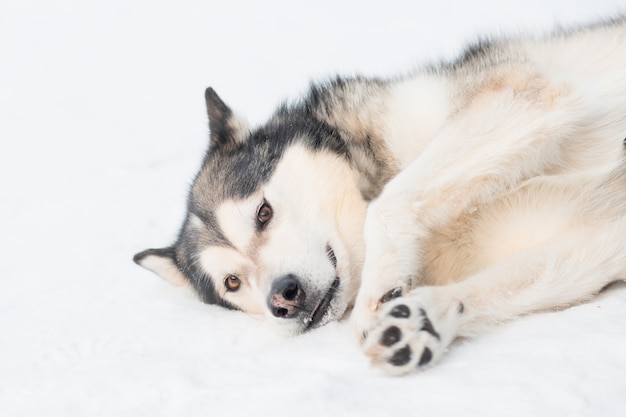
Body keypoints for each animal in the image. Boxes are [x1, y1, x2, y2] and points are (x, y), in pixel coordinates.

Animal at [133, 17, 624, 374]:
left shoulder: (524, 94)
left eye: (263, 213)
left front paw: (378, 291)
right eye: (232, 282)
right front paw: (424, 320)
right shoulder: (598, 240)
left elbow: (390, 204)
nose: (282, 298)